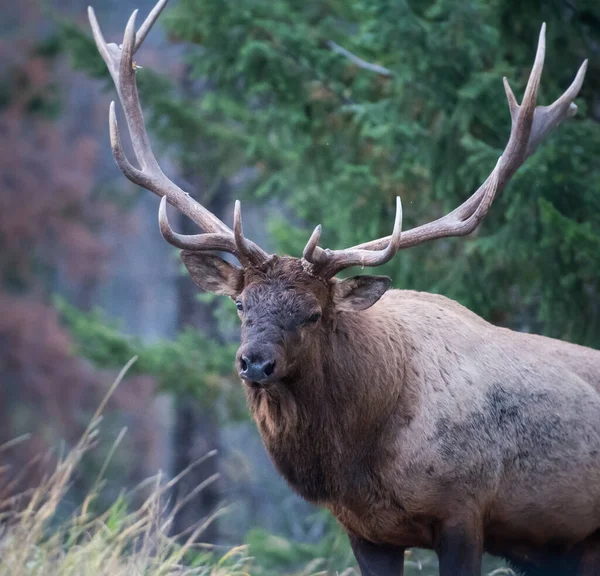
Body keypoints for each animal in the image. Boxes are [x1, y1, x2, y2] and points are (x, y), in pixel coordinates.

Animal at [88, 2, 596, 572]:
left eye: (314, 312)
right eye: (240, 303)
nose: (254, 363)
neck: (359, 457)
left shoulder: (465, 510)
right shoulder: (365, 530)